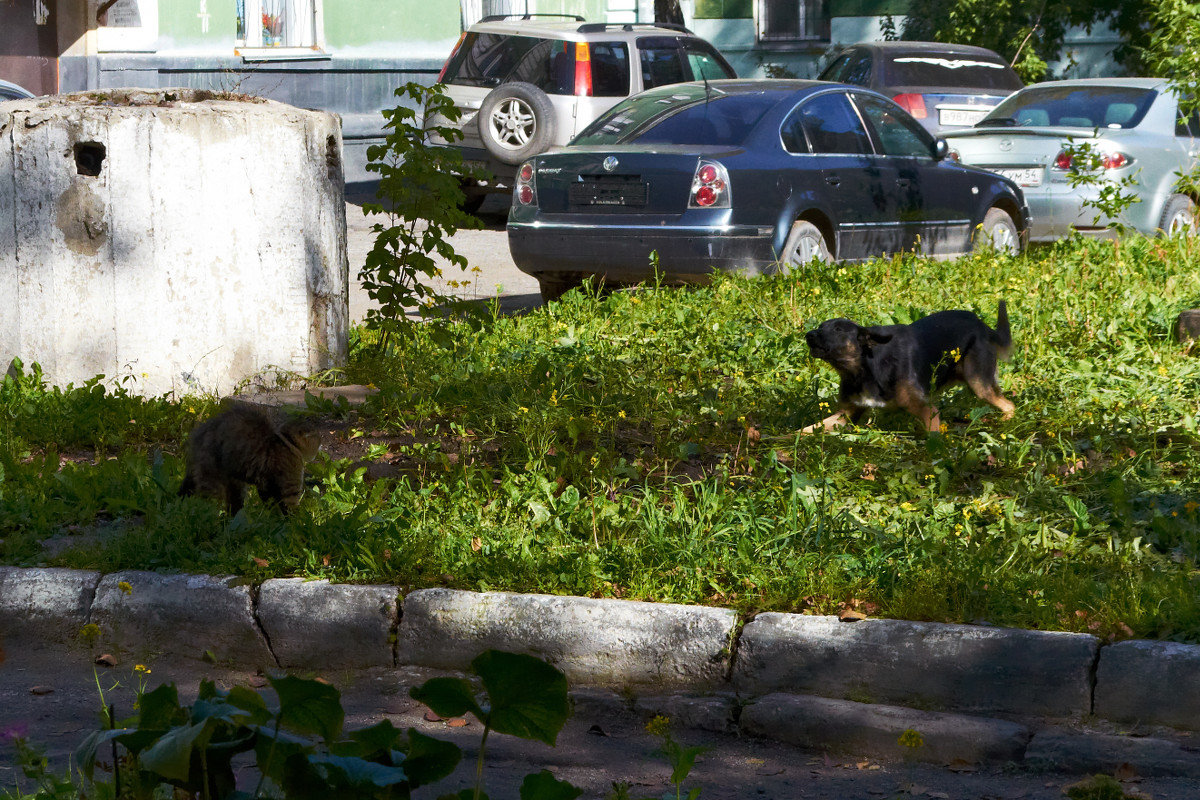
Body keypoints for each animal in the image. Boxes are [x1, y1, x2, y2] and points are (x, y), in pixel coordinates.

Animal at [176, 402, 319, 515]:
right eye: (317, 439)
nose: (320, 445)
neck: (285, 442)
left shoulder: (266, 485)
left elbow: (270, 502)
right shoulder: (289, 486)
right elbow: (290, 508)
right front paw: (296, 523)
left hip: (233, 483)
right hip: (213, 478)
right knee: (208, 501)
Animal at [806, 303, 1012, 434]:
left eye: (838, 330)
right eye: (820, 326)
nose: (808, 334)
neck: (863, 369)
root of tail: (982, 325)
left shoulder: (928, 411)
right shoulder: (846, 414)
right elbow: (805, 430)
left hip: (979, 383)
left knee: (1010, 405)